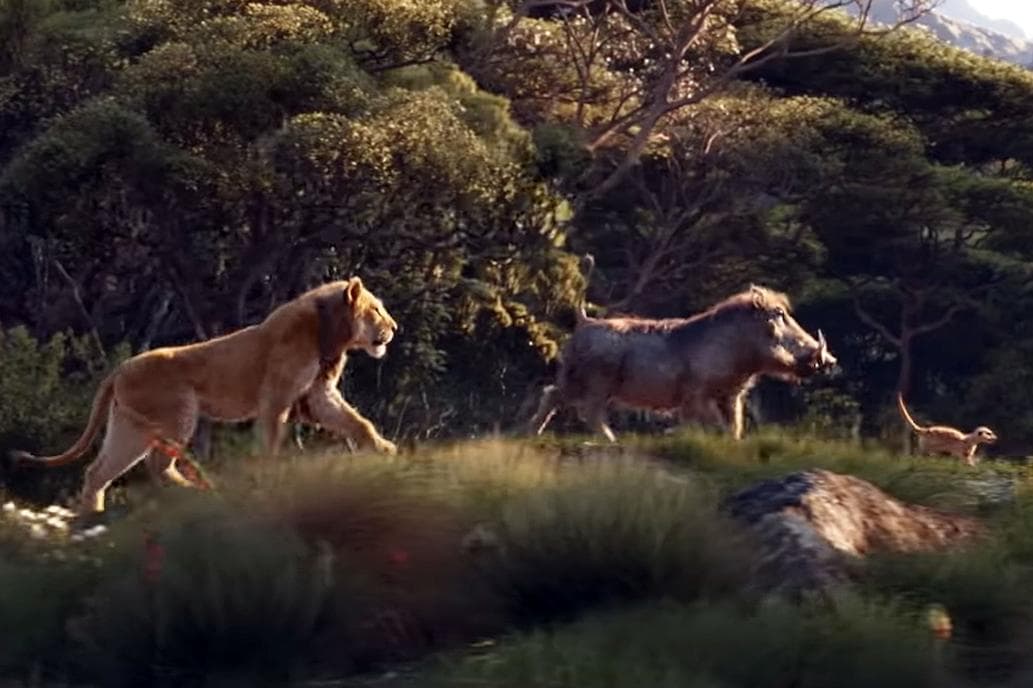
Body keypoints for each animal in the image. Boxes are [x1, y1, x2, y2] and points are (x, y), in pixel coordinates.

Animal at [12, 277, 398, 514]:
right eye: (376, 309)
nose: (394, 328)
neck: (331, 335)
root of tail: (118, 369)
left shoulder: (317, 394)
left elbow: (358, 423)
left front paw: (385, 450)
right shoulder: (276, 398)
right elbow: (271, 440)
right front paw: (270, 477)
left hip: (129, 427)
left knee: (98, 471)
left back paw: (90, 518)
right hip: (178, 413)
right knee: (158, 465)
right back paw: (205, 489)